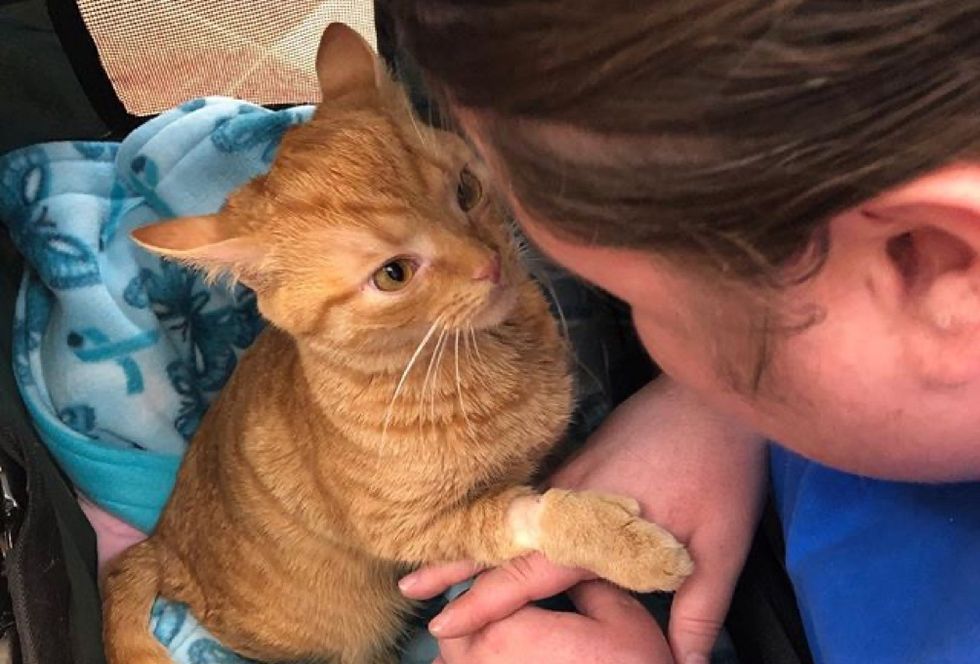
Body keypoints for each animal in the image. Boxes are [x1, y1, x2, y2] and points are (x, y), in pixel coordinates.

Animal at [101, 22, 688, 664]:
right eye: (394, 274)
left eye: (466, 190)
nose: (489, 264)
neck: (479, 360)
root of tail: (160, 543)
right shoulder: (413, 531)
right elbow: (526, 514)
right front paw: (620, 543)